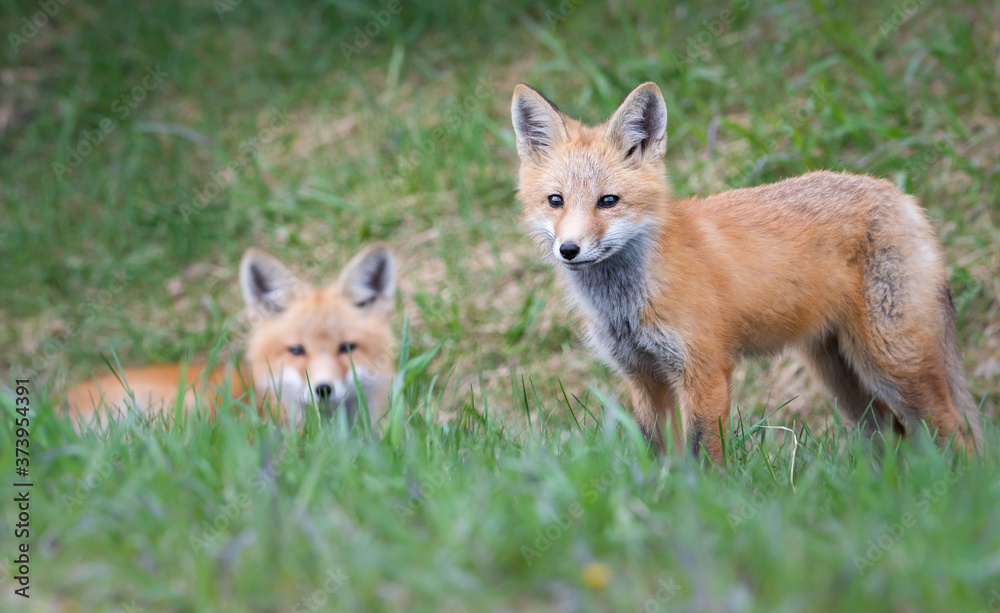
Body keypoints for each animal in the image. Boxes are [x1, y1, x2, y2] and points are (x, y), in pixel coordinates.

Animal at [511, 81, 980, 462]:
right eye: (556, 201)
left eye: (608, 201)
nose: (569, 250)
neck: (625, 304)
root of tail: (899, 194)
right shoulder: (642, 377)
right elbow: (662, 457)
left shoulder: (705, 372)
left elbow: (704, 455)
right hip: (842, 377)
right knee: (892, 436)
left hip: (891, 362)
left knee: (956, 428)